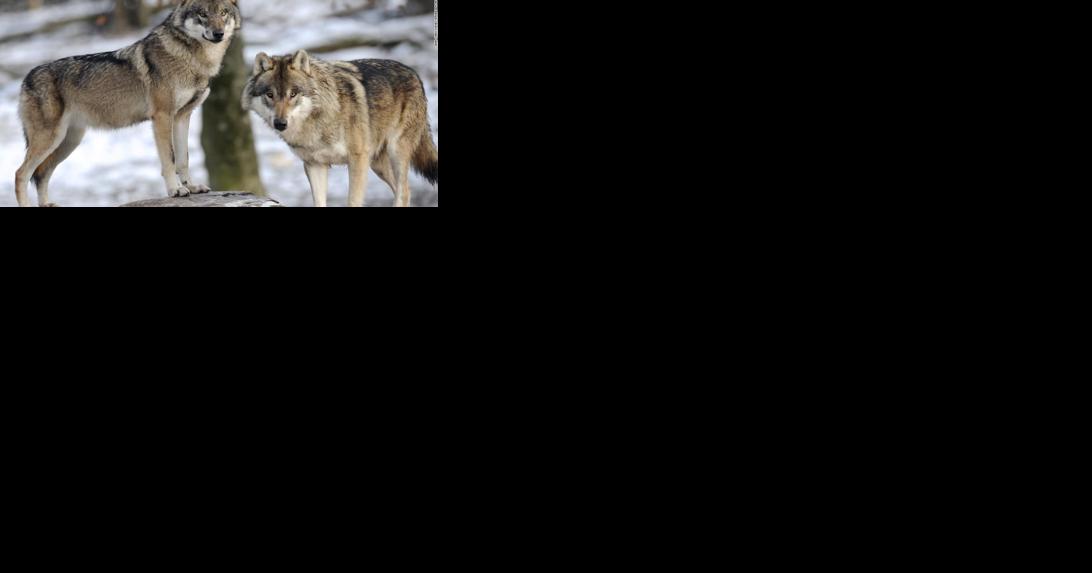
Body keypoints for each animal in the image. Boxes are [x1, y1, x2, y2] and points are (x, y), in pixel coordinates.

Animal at [14, 0, 242, 207]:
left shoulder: (182, 117)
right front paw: (176, 190)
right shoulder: (162, 117)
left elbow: (183, 158)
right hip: (50, 140)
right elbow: (170, 159)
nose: (218, 33)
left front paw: (192, 187)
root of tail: (26, 78)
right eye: (202, 13)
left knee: (42, 174)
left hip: (68, 142)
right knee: (21, 174)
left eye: (223, 12)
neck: (194, 60)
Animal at [242, 50, 437, 207]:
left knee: (403, 192)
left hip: (395, 152)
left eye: (293, 93)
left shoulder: (357, 160)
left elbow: (353, 201)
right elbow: (319, 202)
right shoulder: (315, 164)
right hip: (377, 164)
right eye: (270, 94)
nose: (280, 123)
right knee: (404, 190)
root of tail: (414, 72)